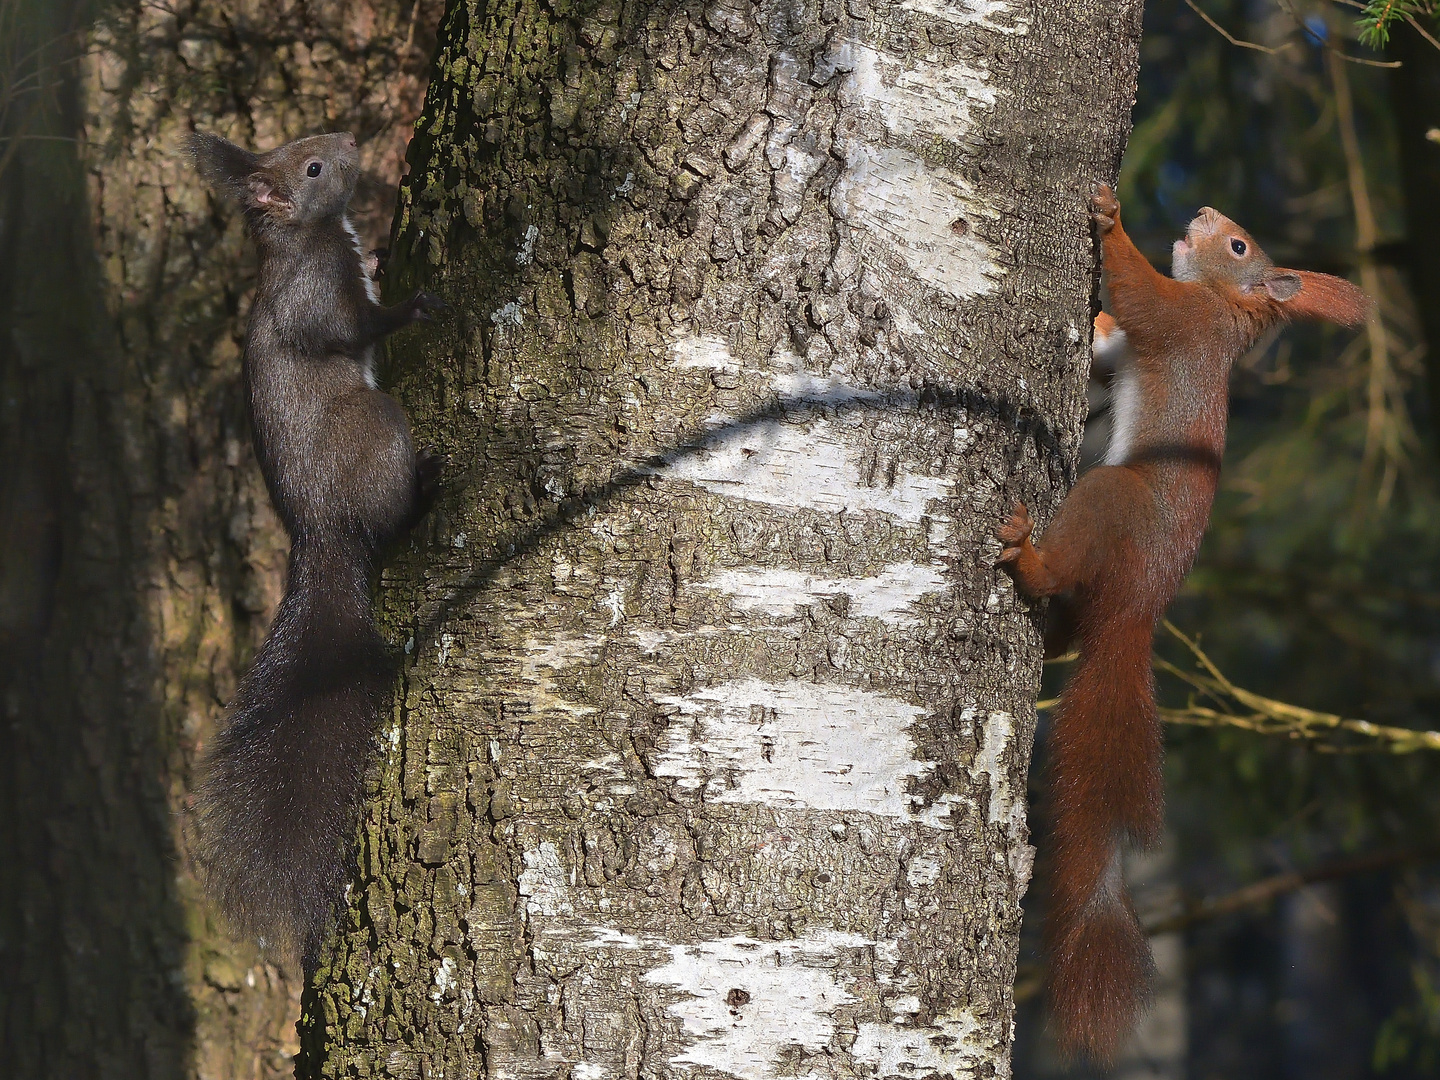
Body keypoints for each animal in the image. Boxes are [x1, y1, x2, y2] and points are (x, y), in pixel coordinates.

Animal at [190, 126, 443, 973]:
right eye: (313, 166)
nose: (355, 142)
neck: (306, 238)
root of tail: (321, 531)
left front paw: (385, 256)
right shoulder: (317, 299)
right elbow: (352, 330)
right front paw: (412, 303)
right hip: (378, 426)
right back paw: (427, 486)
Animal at [996, 188, 1365, 1065]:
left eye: (1237, 245)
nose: (1200, 208)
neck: (1224, 309)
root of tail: (1136, 612)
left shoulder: (1178, 321)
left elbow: (1140, 294)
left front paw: (1111, 219)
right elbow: (1110, 348)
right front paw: (1096, 315)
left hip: (1112, 503)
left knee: (1066, 568)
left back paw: (1028, 560)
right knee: (1068, 630)